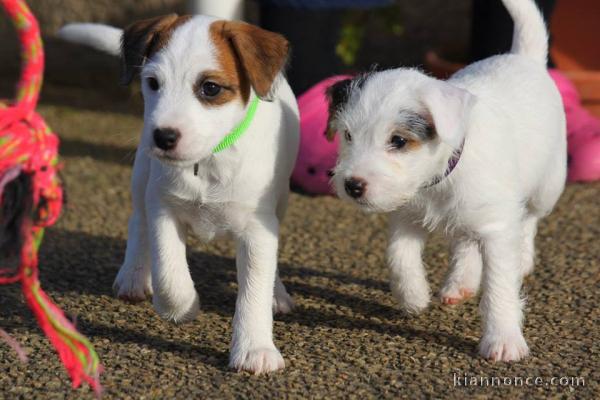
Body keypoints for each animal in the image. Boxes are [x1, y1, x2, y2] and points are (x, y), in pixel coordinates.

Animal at [61, 14, 300, 374]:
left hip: (281, 199)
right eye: (152, 83)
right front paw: (183, 307)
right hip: (142, 175)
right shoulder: (163, 208)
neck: (208, 160)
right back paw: (133, 276)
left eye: (210, 88)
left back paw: (277, 293)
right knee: (137, 223)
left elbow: (254, 289)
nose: (163, 136)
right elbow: (168, 274)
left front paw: (254, 347)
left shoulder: (258, 227)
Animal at [326, 0, 564, 362]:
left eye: (398, 141)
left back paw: (522, 258)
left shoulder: (497, 229)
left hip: (547, 186)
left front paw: (503, 338)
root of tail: (523, 57)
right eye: (348, 135)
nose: (352, 185)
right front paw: (413, 296)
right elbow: (399, 255)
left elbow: (499, 286)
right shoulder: (406, 216)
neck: (440, 178)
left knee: (529, 220)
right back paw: (459, 282)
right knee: (466, 241)